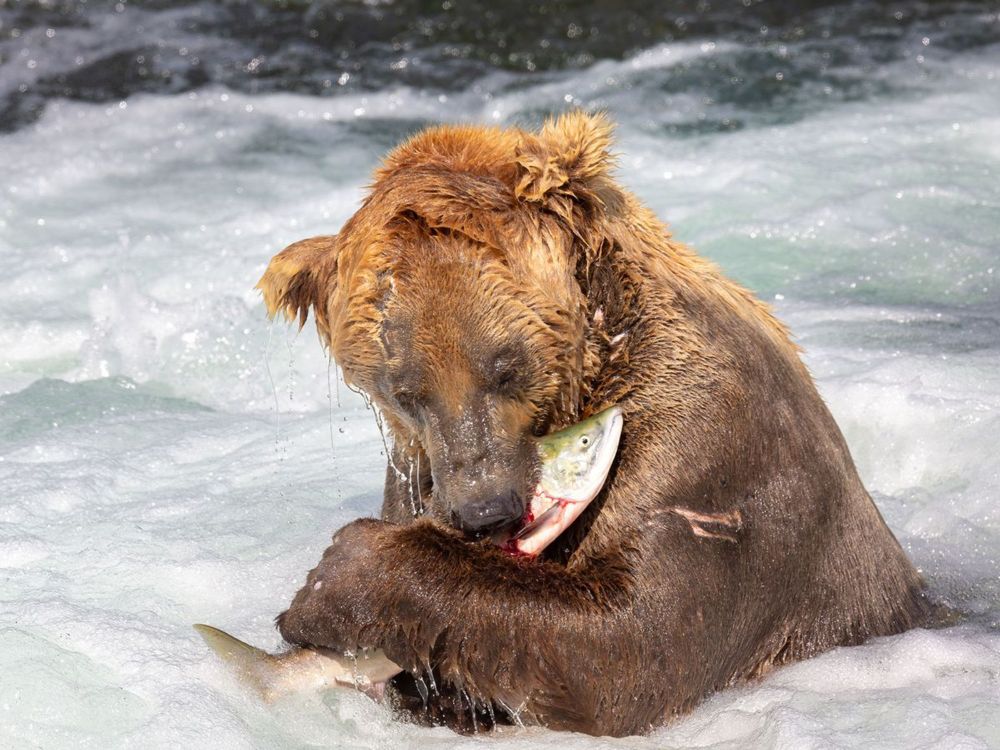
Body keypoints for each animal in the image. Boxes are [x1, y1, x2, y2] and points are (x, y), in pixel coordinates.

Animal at [258, 113, 928, 740]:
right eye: (405, 391)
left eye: (505, 366)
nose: (484, 511)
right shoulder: (418, 468)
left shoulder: (705, 447)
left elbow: (634, 645)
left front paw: (339, 575)